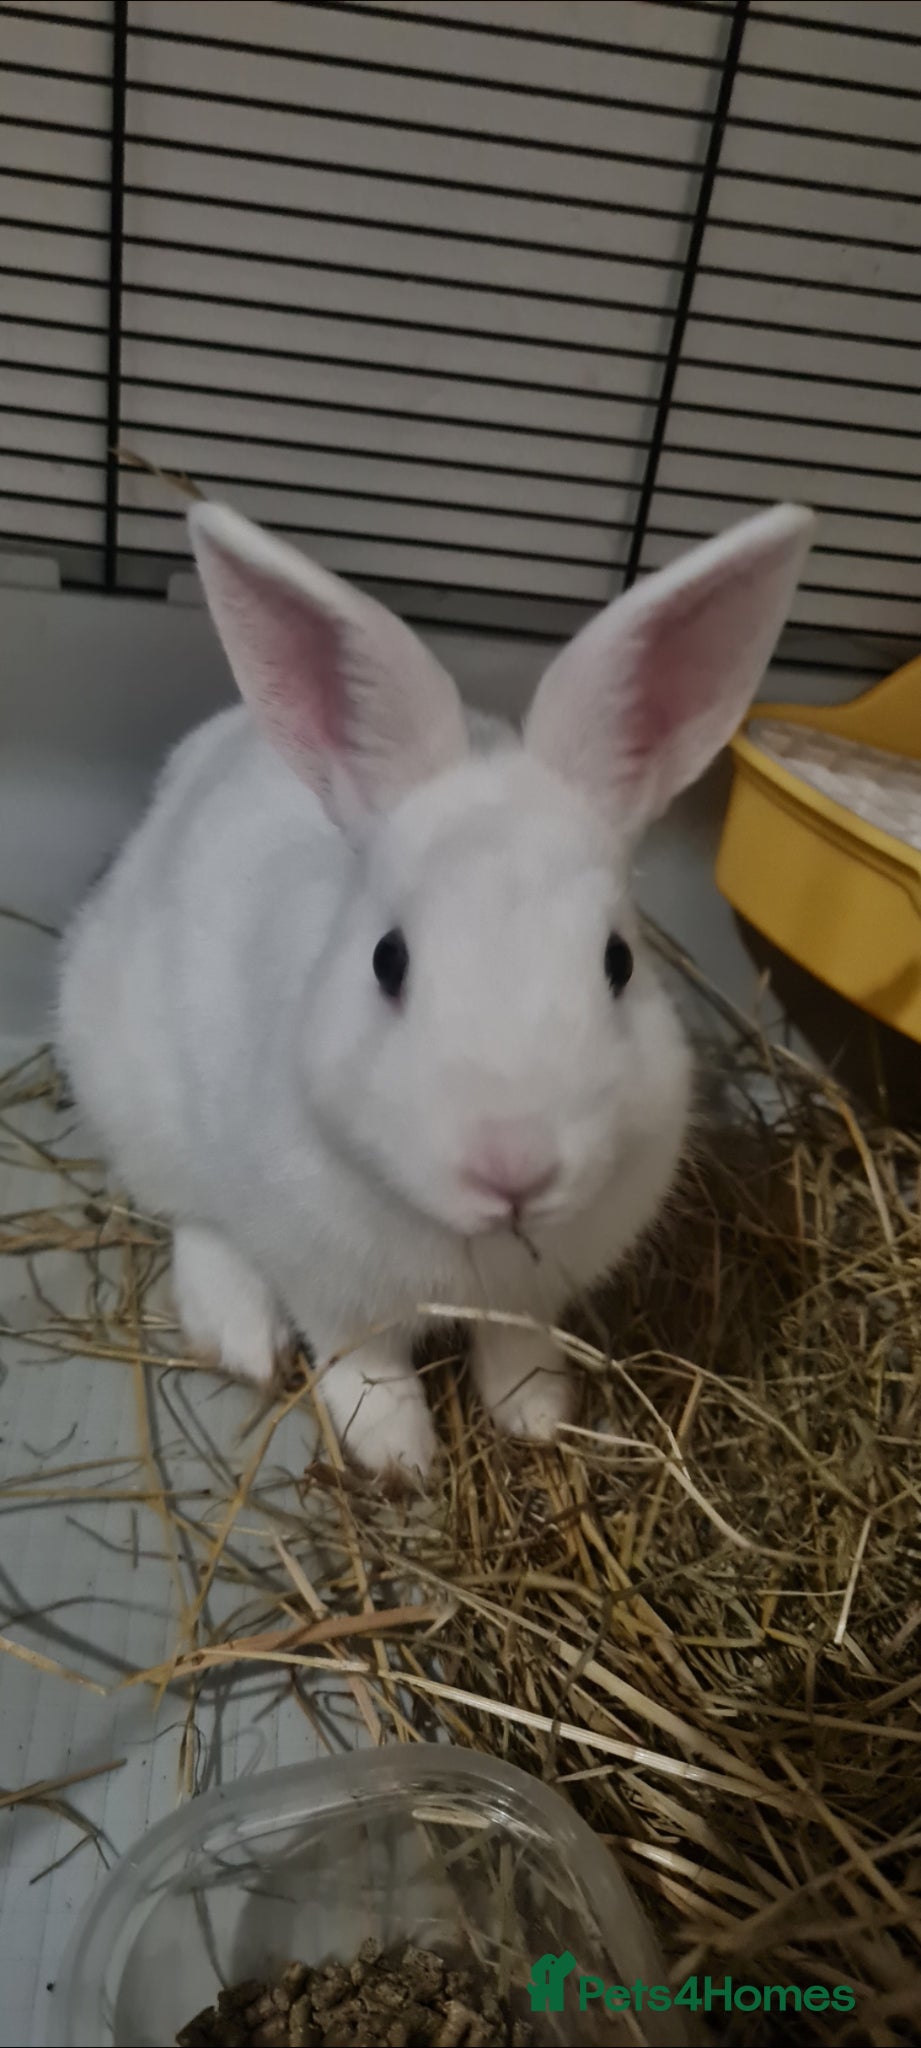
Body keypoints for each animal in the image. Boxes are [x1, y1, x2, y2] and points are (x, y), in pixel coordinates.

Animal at [57, 499, 814, 1482]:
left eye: (618, 961)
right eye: (388, 960)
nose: (513, 1170)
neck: (474, 1245)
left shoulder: (535, 1297)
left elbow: (516, 1352)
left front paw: (538, 1416)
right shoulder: (332, 1286)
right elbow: (365, 1363)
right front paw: (398, 1455)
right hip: (136, 1095)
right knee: (192, 1216)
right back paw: (243, 1338)